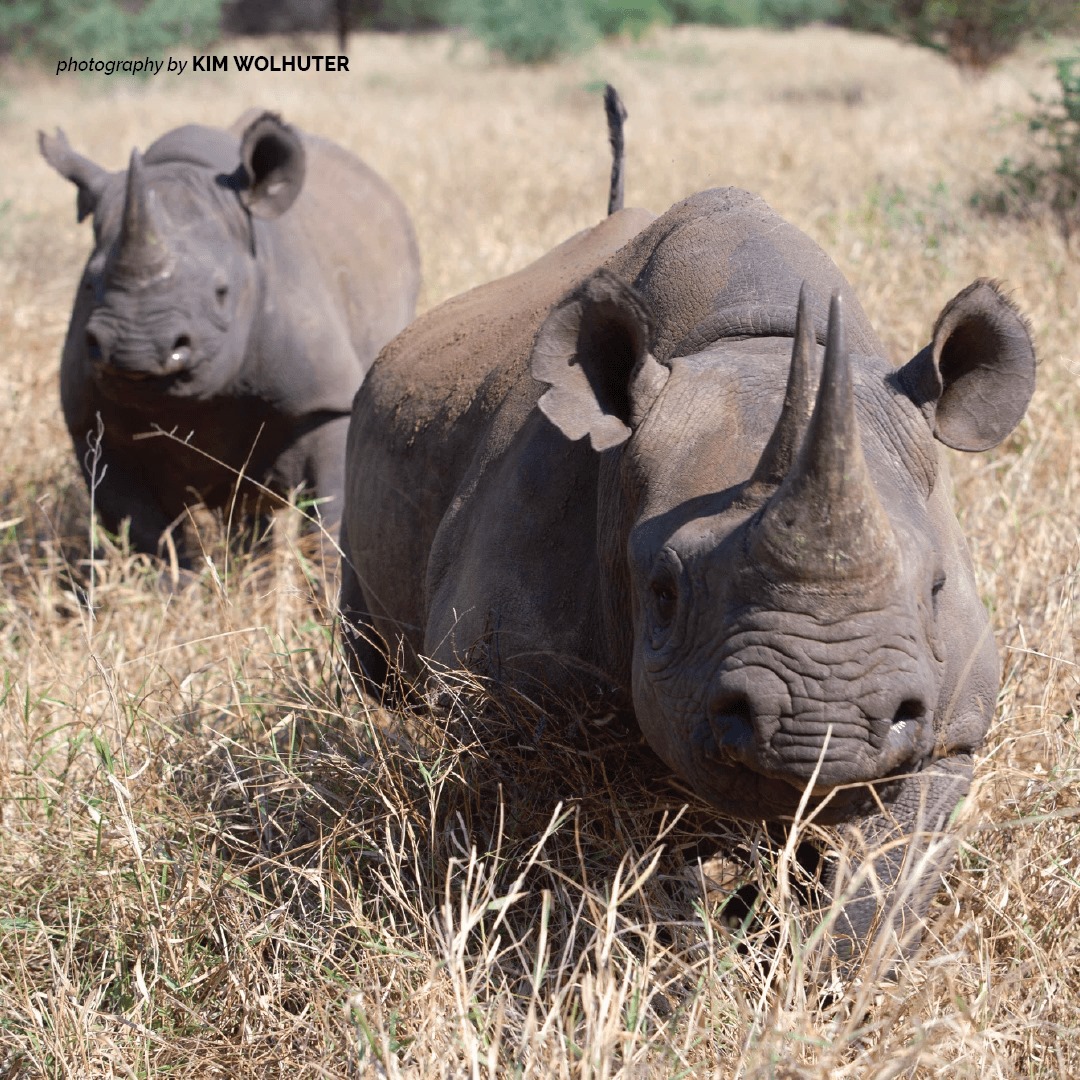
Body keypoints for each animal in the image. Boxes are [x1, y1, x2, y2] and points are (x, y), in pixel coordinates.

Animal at [40, 110, 420, 567]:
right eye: (89, 285)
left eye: (221, 292)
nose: (136, 349)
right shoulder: (92, 429)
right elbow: (150, 539)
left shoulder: (324, 402)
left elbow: (328, 523)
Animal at [339, 94, 1035, 957]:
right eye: (663, 590)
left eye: (936, 588)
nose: (825, 726)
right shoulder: (508, 714)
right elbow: (586, 871)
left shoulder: (947, 735)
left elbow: (874, 892)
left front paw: (814, 974)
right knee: (375, 675)